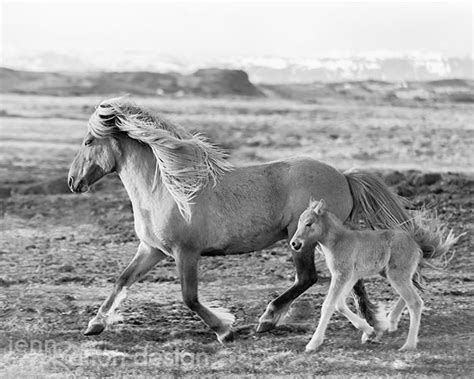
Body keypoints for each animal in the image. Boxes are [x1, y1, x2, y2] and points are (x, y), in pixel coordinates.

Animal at [67, 96, 412, 342]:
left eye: (88, 142)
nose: (73, 181)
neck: (166, 190)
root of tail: (343, 176)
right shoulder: (152, 250)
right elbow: (123, 279)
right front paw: (95, 324)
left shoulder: (185, 252)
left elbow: (189, 297)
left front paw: (225, 329)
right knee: (350, 278)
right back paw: (371, 323)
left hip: (300, 239)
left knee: (307, 278)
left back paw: (267, 319)